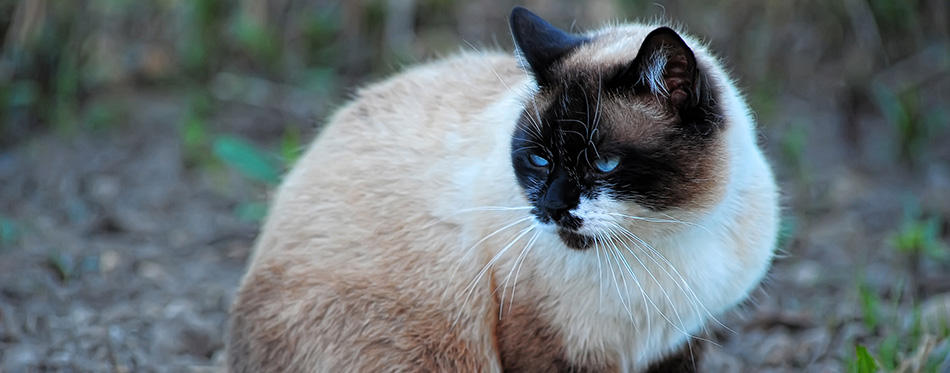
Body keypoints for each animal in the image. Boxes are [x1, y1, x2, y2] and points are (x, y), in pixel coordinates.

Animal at [229, 6, 780, 372]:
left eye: (604, 162)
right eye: (539, 159)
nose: (552, 208)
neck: (666, 239)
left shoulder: (680, 342)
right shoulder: (550, 346)